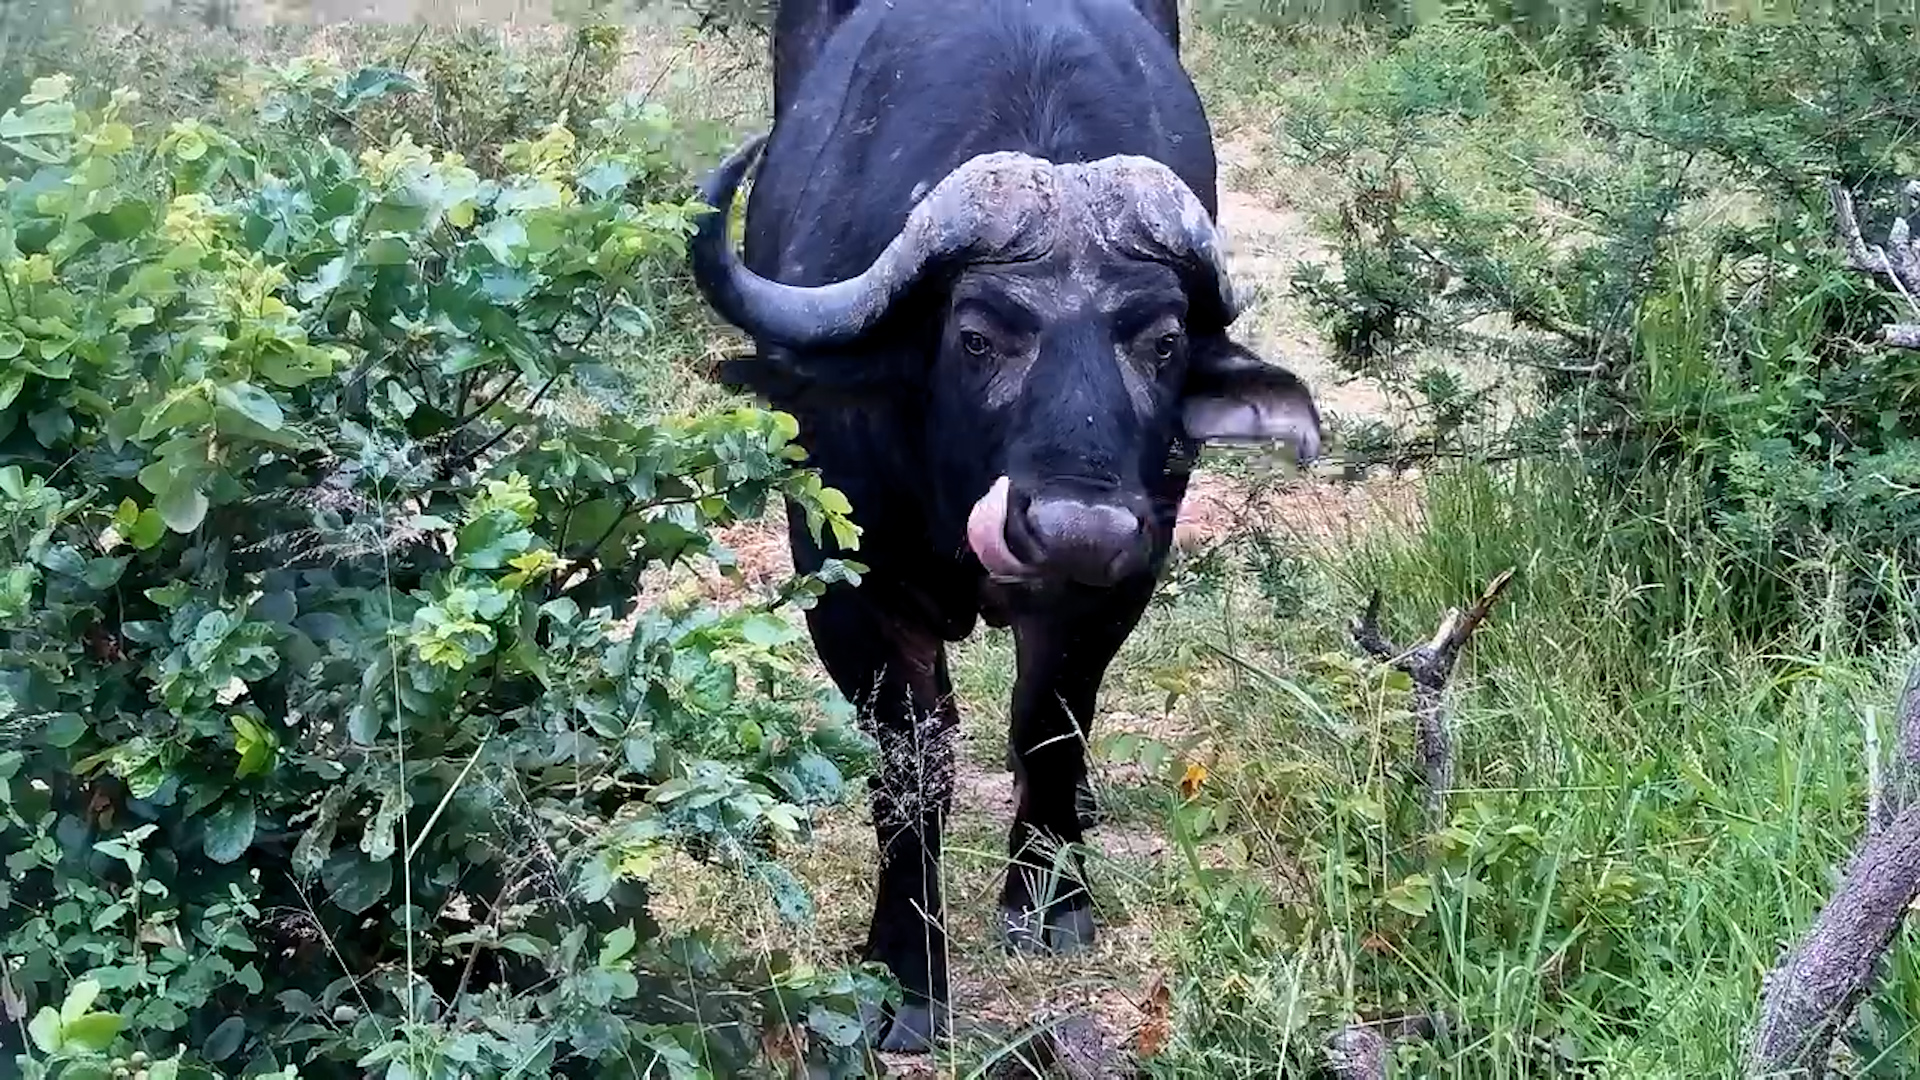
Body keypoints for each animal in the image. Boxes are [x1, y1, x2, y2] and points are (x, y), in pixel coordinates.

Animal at [688, 0, 1324, 1052]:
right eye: (978, 335)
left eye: (1162, 342)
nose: (1077, 529)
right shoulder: (850, 590)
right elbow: (914, 765)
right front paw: (908, 975)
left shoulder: (1117, 586)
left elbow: (1049, 720)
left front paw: (1050, 896)